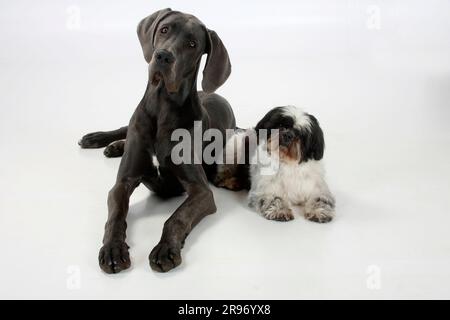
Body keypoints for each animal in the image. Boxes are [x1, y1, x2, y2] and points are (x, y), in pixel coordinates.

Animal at [78, 8, 236, 272]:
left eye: (192, 44)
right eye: (164, 30)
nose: (163, 56)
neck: (163, 107)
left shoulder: (202, 191)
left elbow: (176, 217)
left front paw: (165, 248)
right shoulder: (122, 182)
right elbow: (115, 216)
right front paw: (112, 249)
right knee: (124, 128)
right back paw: (101, 140)